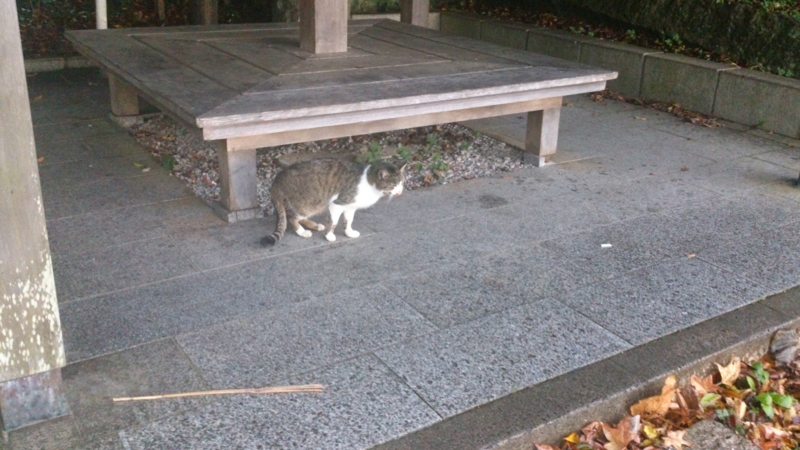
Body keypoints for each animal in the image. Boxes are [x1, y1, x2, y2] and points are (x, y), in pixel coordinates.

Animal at [261, 159, 405, 246]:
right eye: (393, 185)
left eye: (401, 183)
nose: (400, 192)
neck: (368, 183)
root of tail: (276, 181)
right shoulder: (337, 204)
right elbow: (333, 222)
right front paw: (330, 236)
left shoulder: (350, 207)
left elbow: (348, 221)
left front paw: (349, 233)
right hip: (306, 204)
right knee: (292, 218)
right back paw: (302, 232)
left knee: (299, 218)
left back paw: (315, 226)